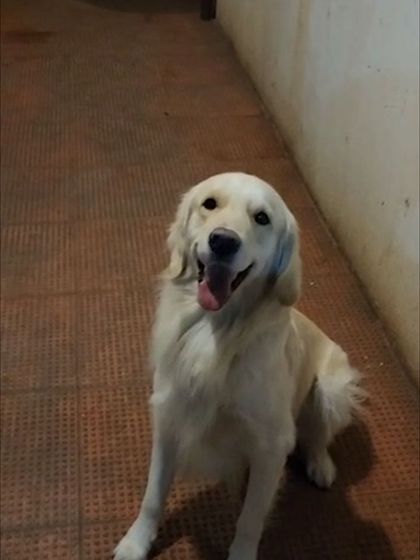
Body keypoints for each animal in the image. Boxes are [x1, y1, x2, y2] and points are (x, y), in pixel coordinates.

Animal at [114, 172, 363, 560]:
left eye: (262, 218)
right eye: (210, 204)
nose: (223, 241)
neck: (216, 333)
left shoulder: (271, 446)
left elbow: (250, 518)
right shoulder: (169, 415)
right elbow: (153, 494)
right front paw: (136, 542)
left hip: (332, 389)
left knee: (318, 436)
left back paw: (320, 464)